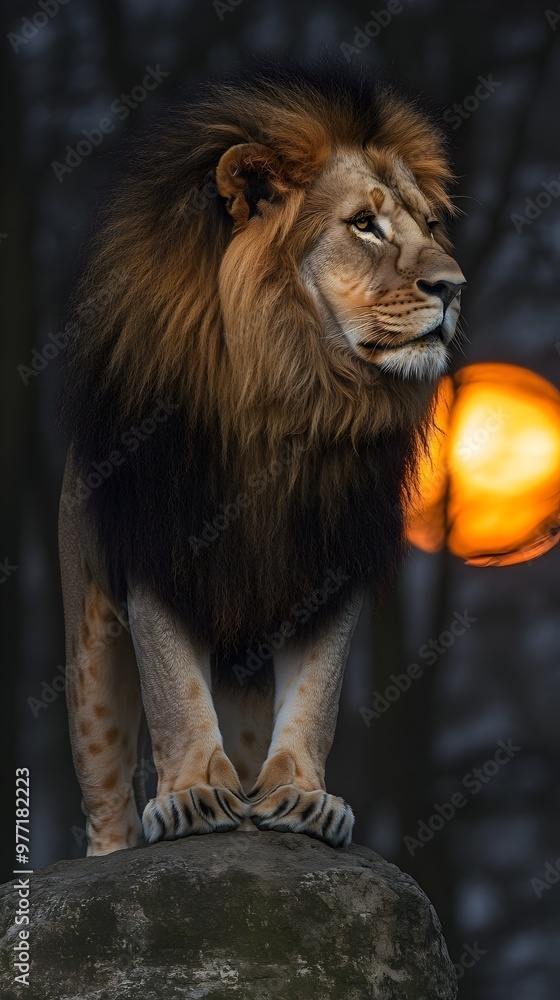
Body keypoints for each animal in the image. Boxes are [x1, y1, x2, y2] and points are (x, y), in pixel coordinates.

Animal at [59, 61, 465, 856]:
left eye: (430, 225)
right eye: (363, 224)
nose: (453, 288)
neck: (293, 394)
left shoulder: (327, 560)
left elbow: (316, 695)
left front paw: (302, 798)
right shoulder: (161, 543)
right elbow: (174, 687)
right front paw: (192, 795)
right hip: (87, 632)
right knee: (104, 781)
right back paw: (118, 846)